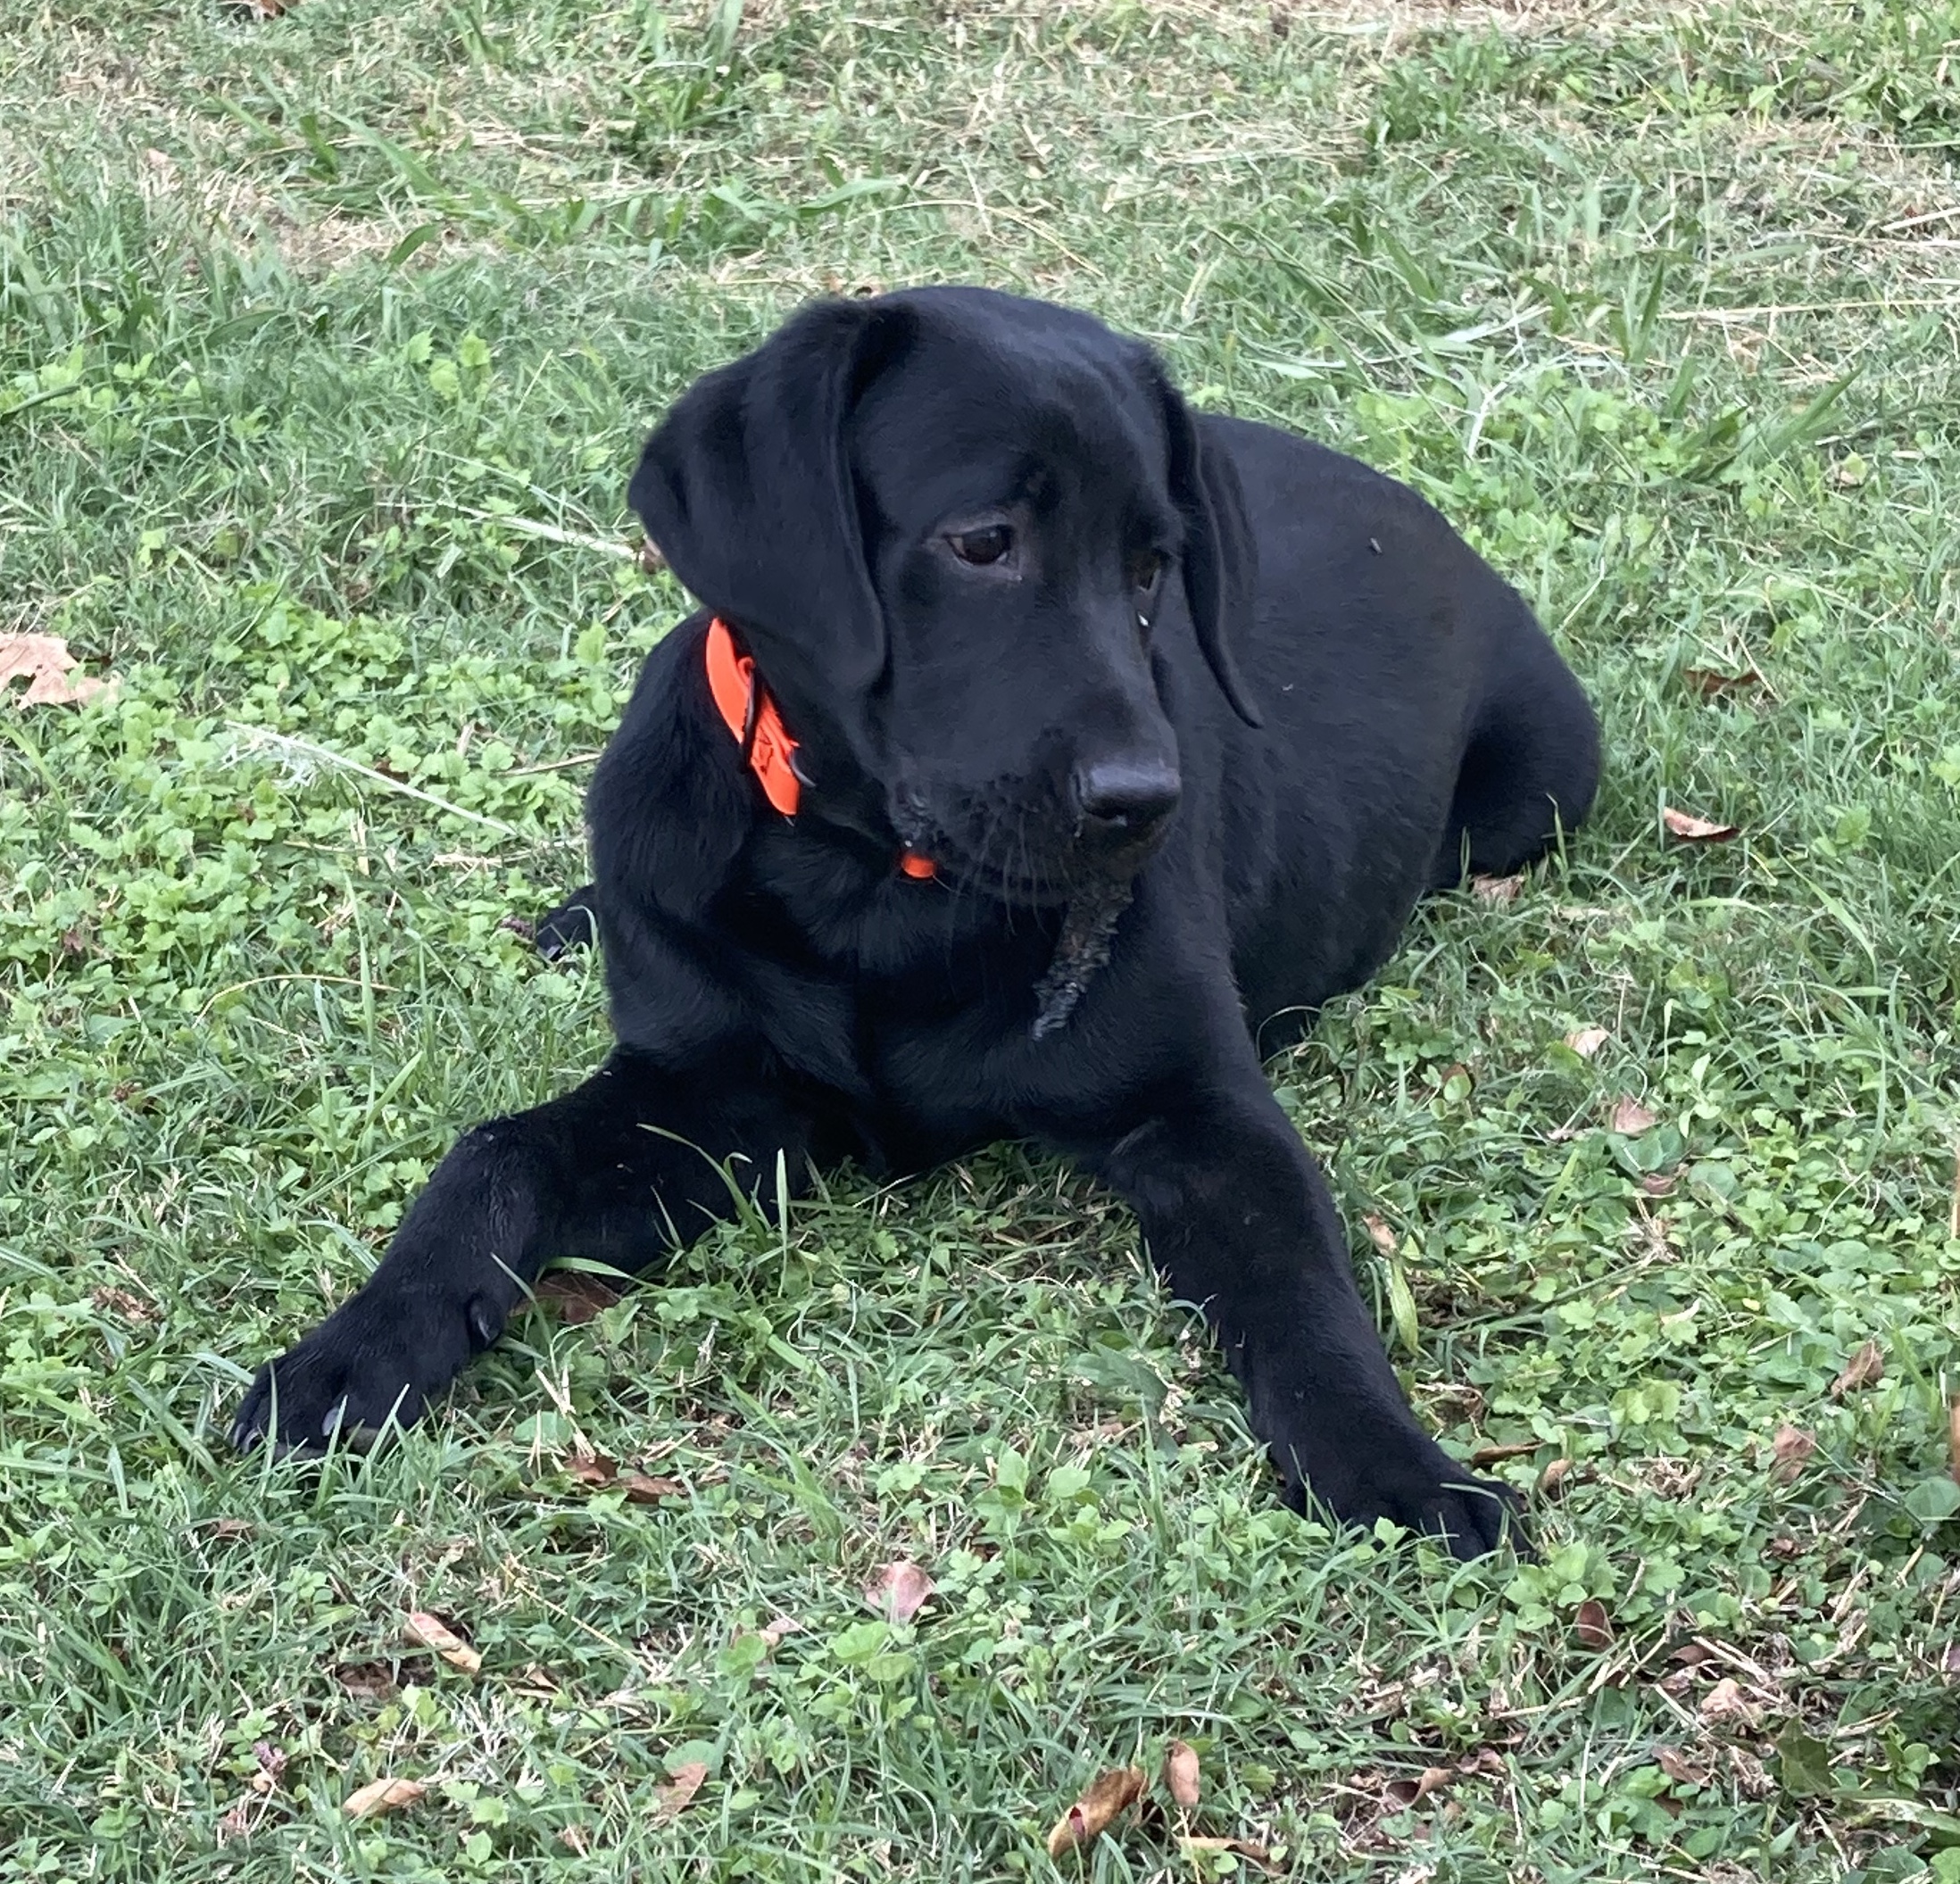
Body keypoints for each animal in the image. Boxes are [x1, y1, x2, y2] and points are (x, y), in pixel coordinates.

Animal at [237, 286, 1599, 1552]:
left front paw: (1395, 1464)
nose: (1146, 804)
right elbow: (493, 1154)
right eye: (983, 541)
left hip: (1539, 792)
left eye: (1152, 568)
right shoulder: (716, 1097)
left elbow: (1302, 1286)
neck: (876, 883)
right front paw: (355, 1350)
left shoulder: (1204, 1115)